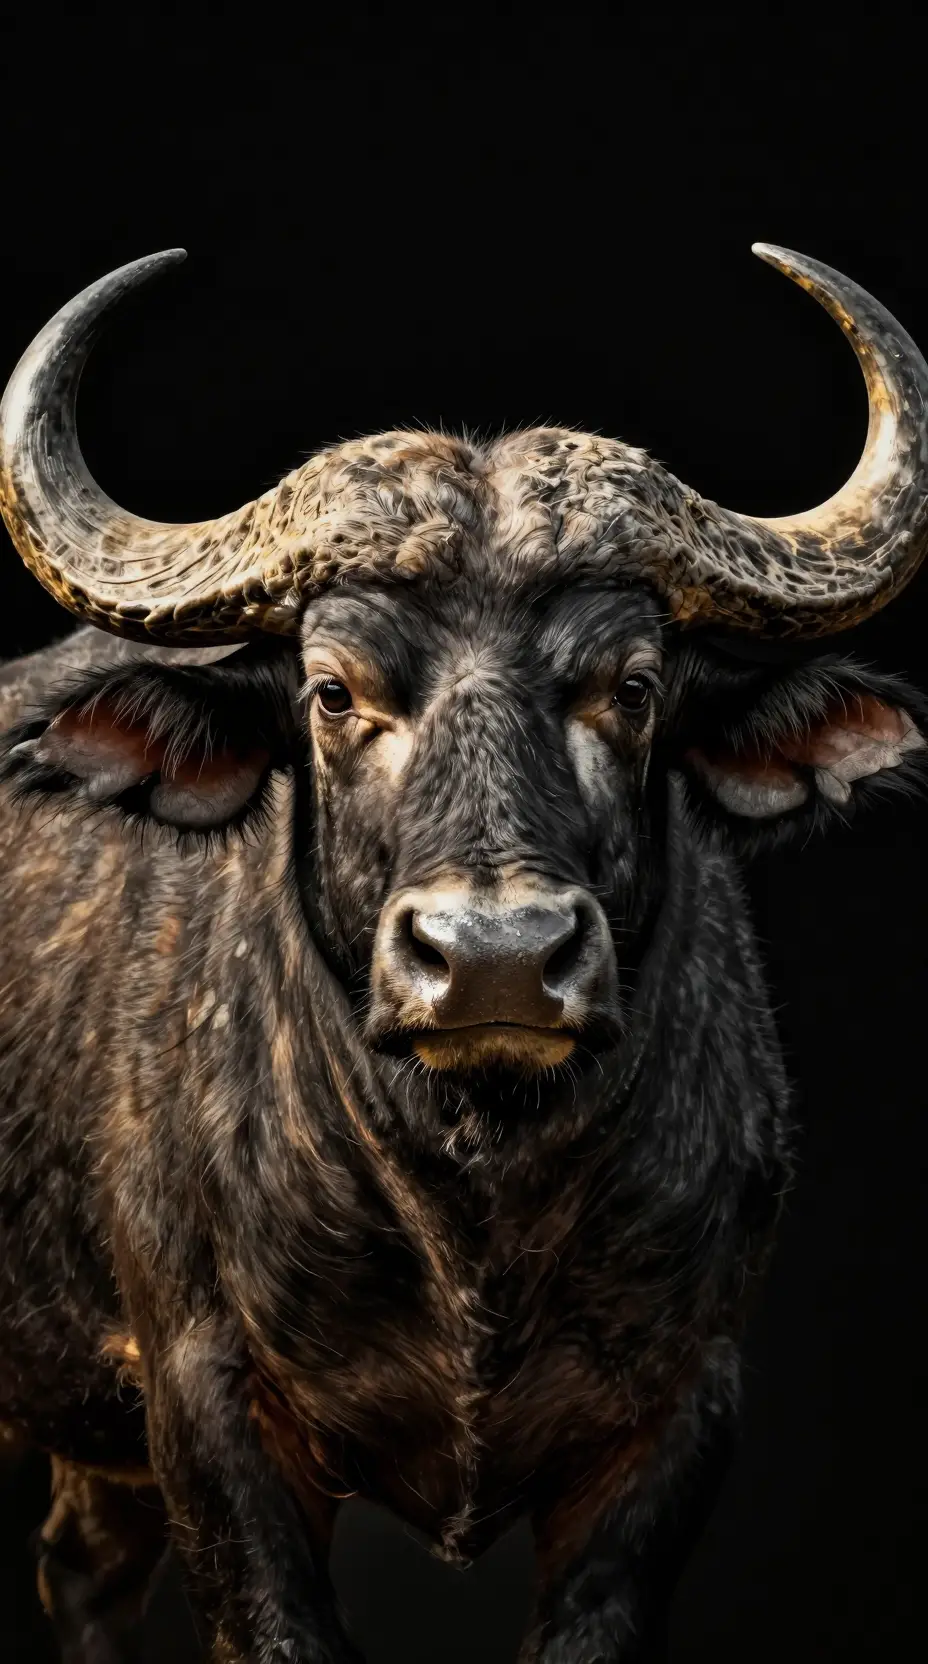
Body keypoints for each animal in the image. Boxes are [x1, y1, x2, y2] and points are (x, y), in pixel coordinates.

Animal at [0, 245, 925, 1663]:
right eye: (333, 691)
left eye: (632, 686)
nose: (495, 955)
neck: (472, 1197)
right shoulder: (209, 1406)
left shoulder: (678, 1413)